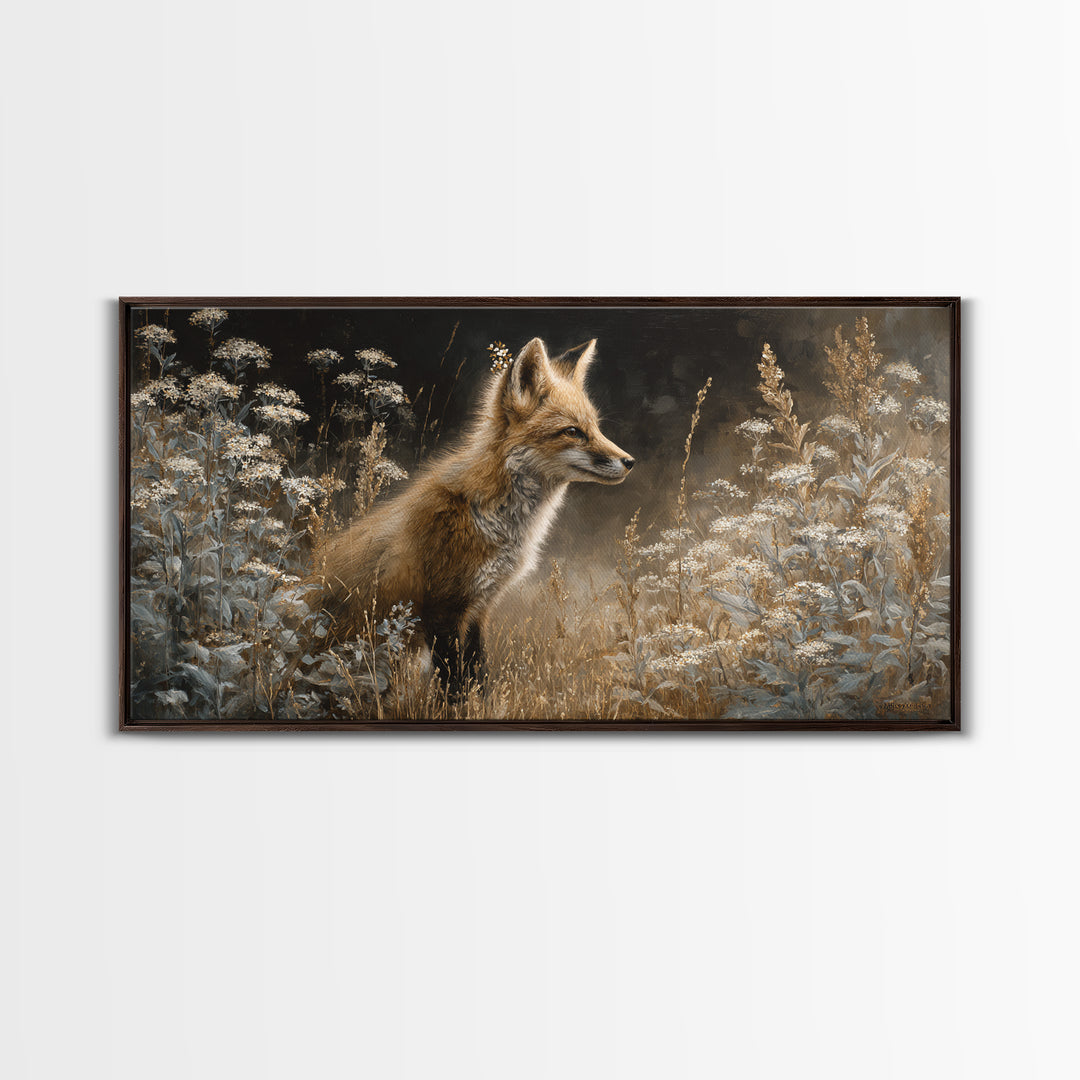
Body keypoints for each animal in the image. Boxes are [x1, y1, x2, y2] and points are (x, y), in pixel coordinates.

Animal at [316, 336, 634, 692]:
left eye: (595, 428)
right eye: (573, 431)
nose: (629, 461)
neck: (490, 518)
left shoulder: (479, 607)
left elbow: (477, 676)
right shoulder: (442, 609)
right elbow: (454, 685)